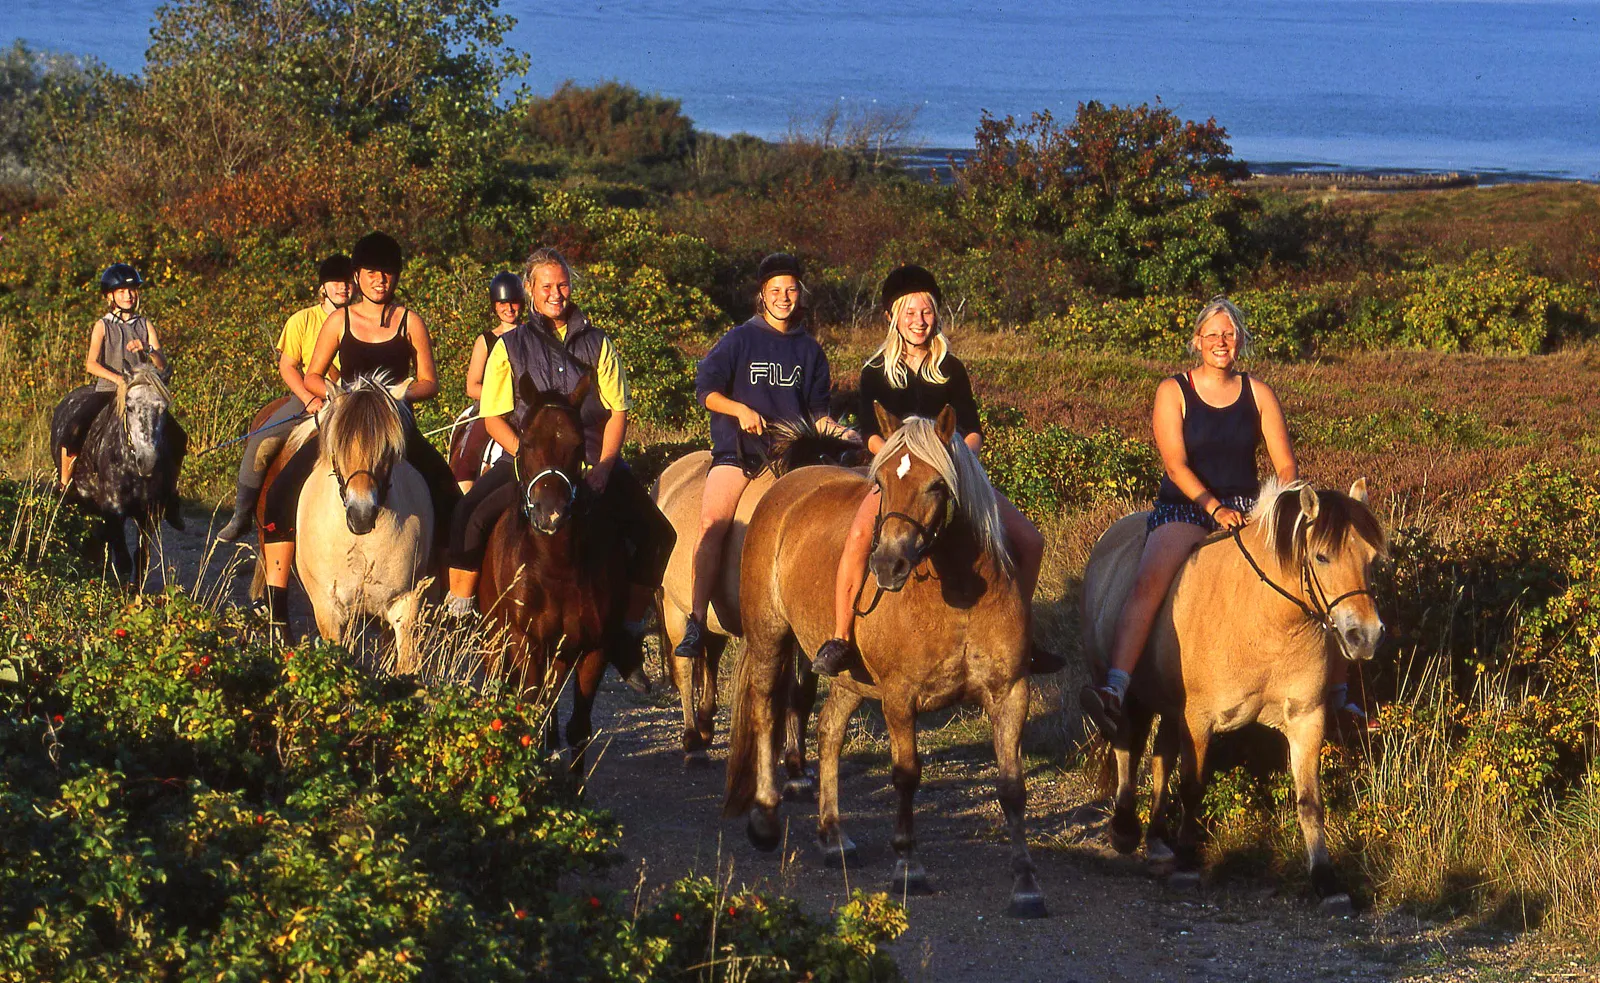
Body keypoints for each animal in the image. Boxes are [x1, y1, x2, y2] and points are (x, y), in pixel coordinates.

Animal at [50, 358, 185, 582]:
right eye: (129, 407)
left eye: (163, 408)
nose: (147, 461)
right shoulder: (114, 510)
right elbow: (123, 561)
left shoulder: (149, 514)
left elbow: (141, 558)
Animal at [281, 376, 432, 669]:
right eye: (338, 448)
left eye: (387, 449)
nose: (361, 515)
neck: (360, 544)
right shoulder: (329, 610)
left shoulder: (406, 604)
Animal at [656, 422, 870, 778]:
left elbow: (801, 694)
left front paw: (797, 765)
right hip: (674, 607)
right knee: (684, 666)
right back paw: (692, 740)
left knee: (709, 655)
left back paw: (705, 725)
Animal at [726, 405, 1049, 922]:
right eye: (880, 484)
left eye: (937, 484)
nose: (888, 565)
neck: (958, 596)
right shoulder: (900, 698)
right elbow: (906, 776)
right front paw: (908, 867)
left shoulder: (1011, 693)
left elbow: (1012, 787)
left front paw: (1025, 883)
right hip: (769, 637)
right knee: (765, 711)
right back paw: (766, 816)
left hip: (849, 678)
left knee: (829, 731)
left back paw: (834, 835)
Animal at [1075, 480, 1388, 902]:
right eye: (1322, 557)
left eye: (1371, 559)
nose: (1365, 636)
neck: (1265, 622)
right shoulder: (1199, 719)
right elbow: (1192, 787)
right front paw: (1187, 862)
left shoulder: (1306, 718)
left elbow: (1310, 800)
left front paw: (1325, 879)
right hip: (1126, 688)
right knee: (1128, 744)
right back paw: (1125, 830)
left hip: (1169, 705)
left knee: (1160, 756)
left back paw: (1157, 840)